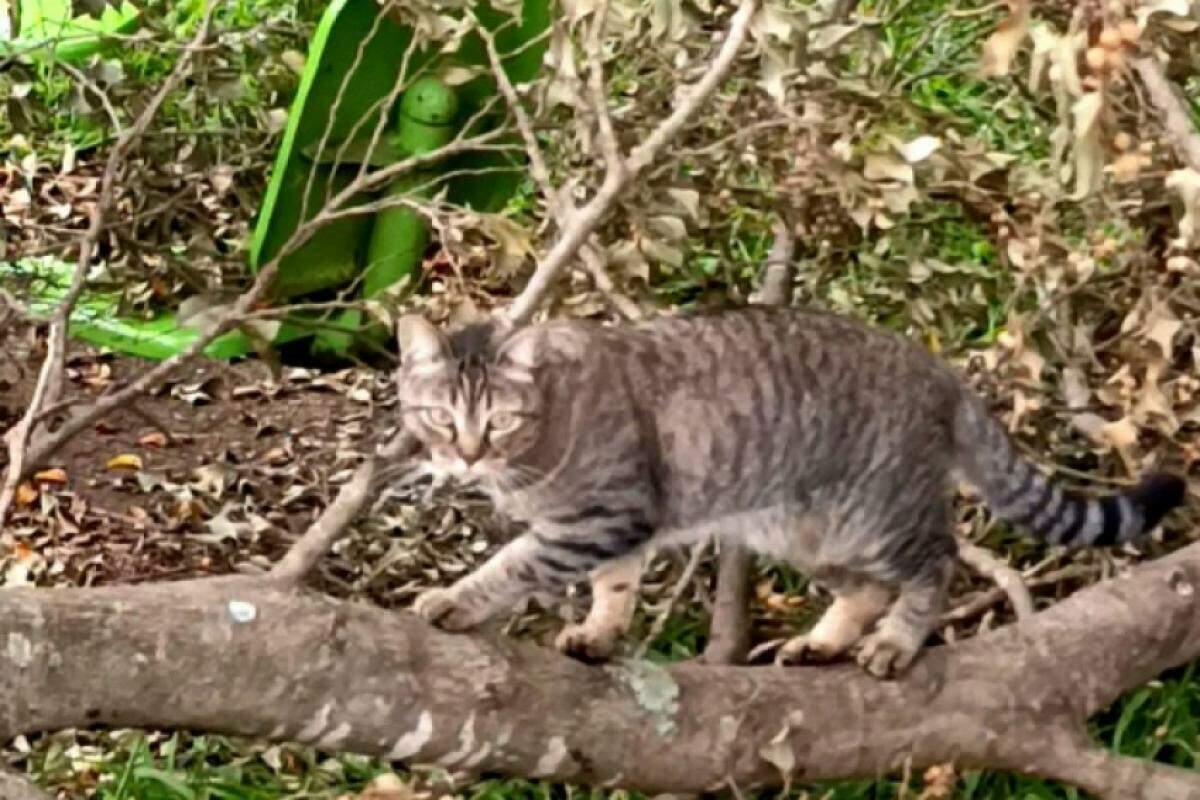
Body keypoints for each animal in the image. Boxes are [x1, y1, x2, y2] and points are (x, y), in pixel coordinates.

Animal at [398, 309, 1185, 681]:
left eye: (500, 422)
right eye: (437, 416)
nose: (465, 455)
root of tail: (939, 371)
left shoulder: (599, 516)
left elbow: (515, 563)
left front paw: (455, 600)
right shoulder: (616, 529)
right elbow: (614, 587)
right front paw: (598, 634)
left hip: (881, 517)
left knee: (937, 562)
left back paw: (895, 644)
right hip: (808, 534)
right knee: (867, 588)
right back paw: (823, 643)